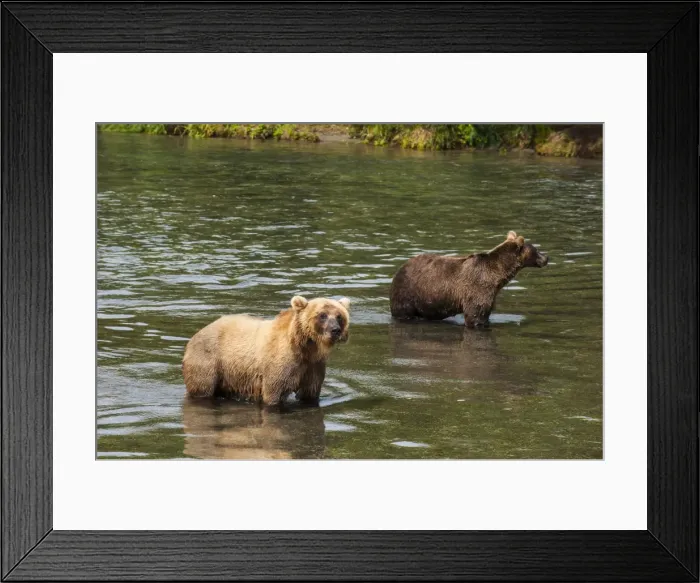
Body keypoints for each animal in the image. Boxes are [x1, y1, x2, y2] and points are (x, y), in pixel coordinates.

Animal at [182, 296, 350, 406]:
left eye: (339, 316)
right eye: (322, 315)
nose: (335, 330)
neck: (305, 347)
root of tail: (197, 334)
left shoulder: (313, 365)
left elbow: (310, 392)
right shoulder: (280, 363)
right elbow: (273, 392)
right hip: (209, 360)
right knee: (202, 388)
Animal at [389, 231, 548, 328]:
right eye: (536, 250)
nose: (547, 258)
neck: (497, 275)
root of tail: (400, 268)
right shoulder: (478, 288)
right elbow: (475, 316)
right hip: (408, 292)